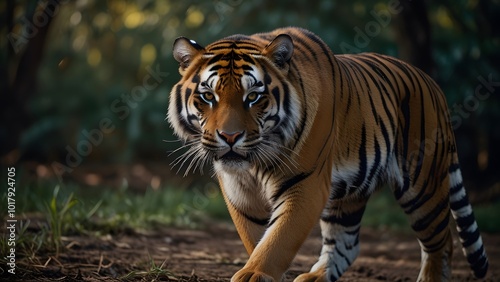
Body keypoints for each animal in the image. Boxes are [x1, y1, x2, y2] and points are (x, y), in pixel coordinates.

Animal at [168, 27, 488, 282]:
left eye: (254, 97)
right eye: (208, 96)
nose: (230, 137)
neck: (253, 166)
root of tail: (433, 84)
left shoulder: (305, 185)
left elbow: (279, 238)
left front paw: (255, 274)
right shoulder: (239, 191)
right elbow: (257, 239)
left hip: (423, 186)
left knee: (441, 243)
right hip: (348, 194)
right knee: (347, 243)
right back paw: (314, 277)